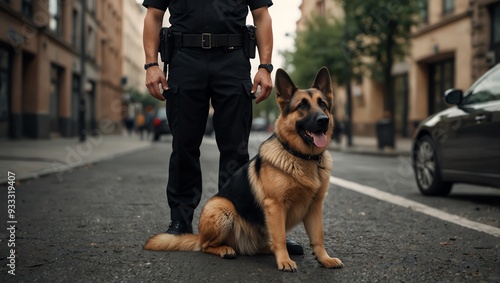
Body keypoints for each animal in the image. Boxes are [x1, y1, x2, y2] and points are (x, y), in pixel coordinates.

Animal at [143, 67, 342, 272]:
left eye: (323, 104)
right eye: (302, 105)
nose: (323, 120)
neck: (300, 156)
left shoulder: (315, 207)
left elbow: (318, 236)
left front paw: (324, 259)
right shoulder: (275, 206)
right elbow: (279, 237)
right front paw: (284, 261)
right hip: (222, 208)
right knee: (205, 246)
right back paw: (225, 249)